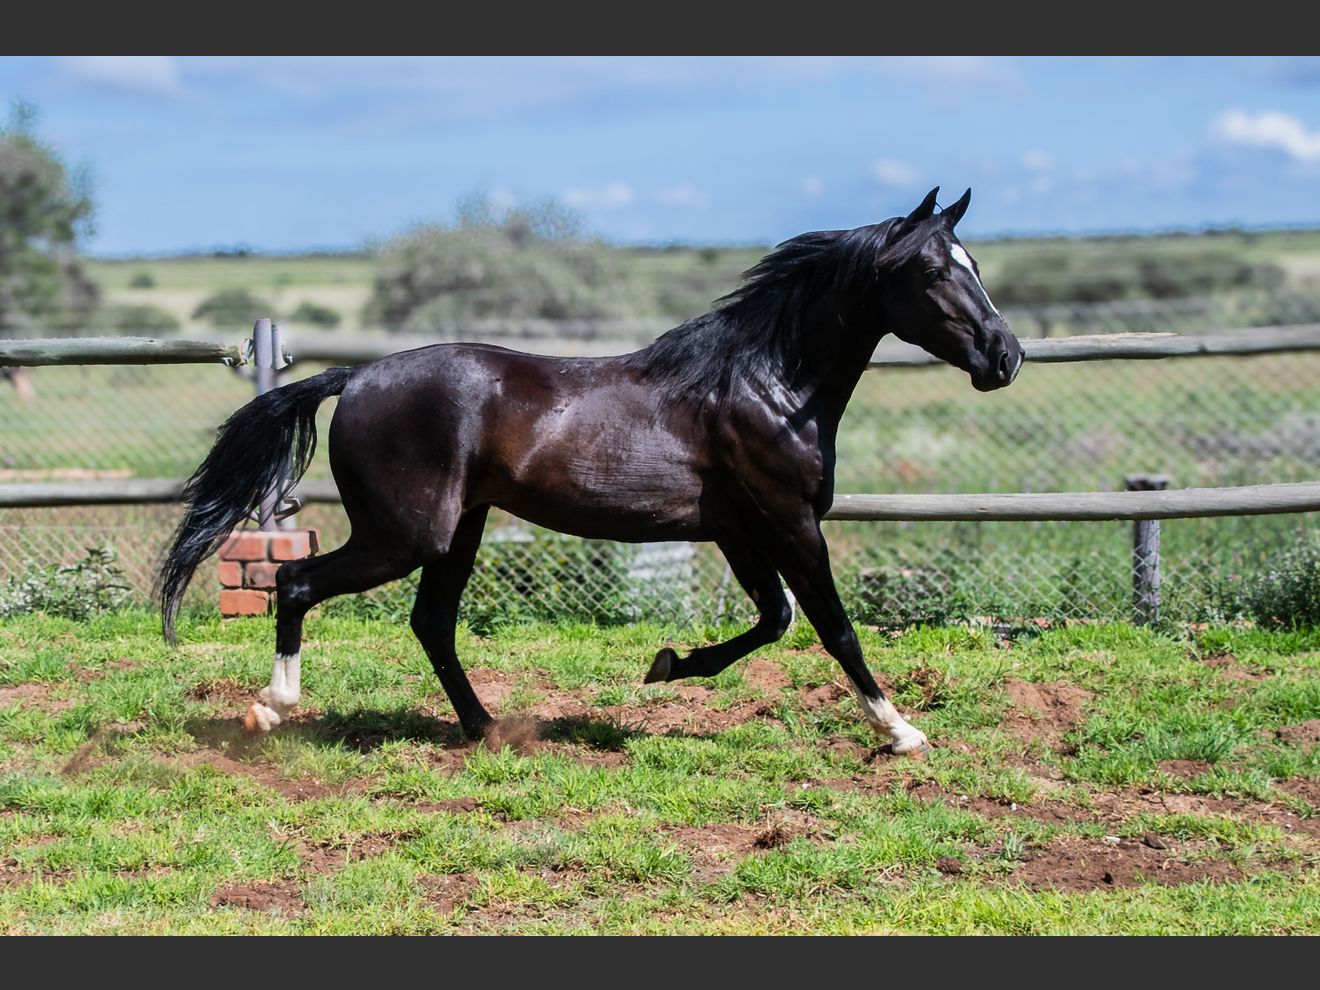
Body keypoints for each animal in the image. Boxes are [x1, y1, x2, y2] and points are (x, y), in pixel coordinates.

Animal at [158, 186, 1024, 756]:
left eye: (975, 262)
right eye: (934, 272)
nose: (1005, 357)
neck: (768, 384)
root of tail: (357, 377)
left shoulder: (739, 529)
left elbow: (774, 620)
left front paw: (670, 664)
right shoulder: (788, 521)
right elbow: (833, 626)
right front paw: (901, 730)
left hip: (457, 531)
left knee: (430, 622)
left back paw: (488, 729)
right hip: (406, 535)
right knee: (297, 582)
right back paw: (270, 709)